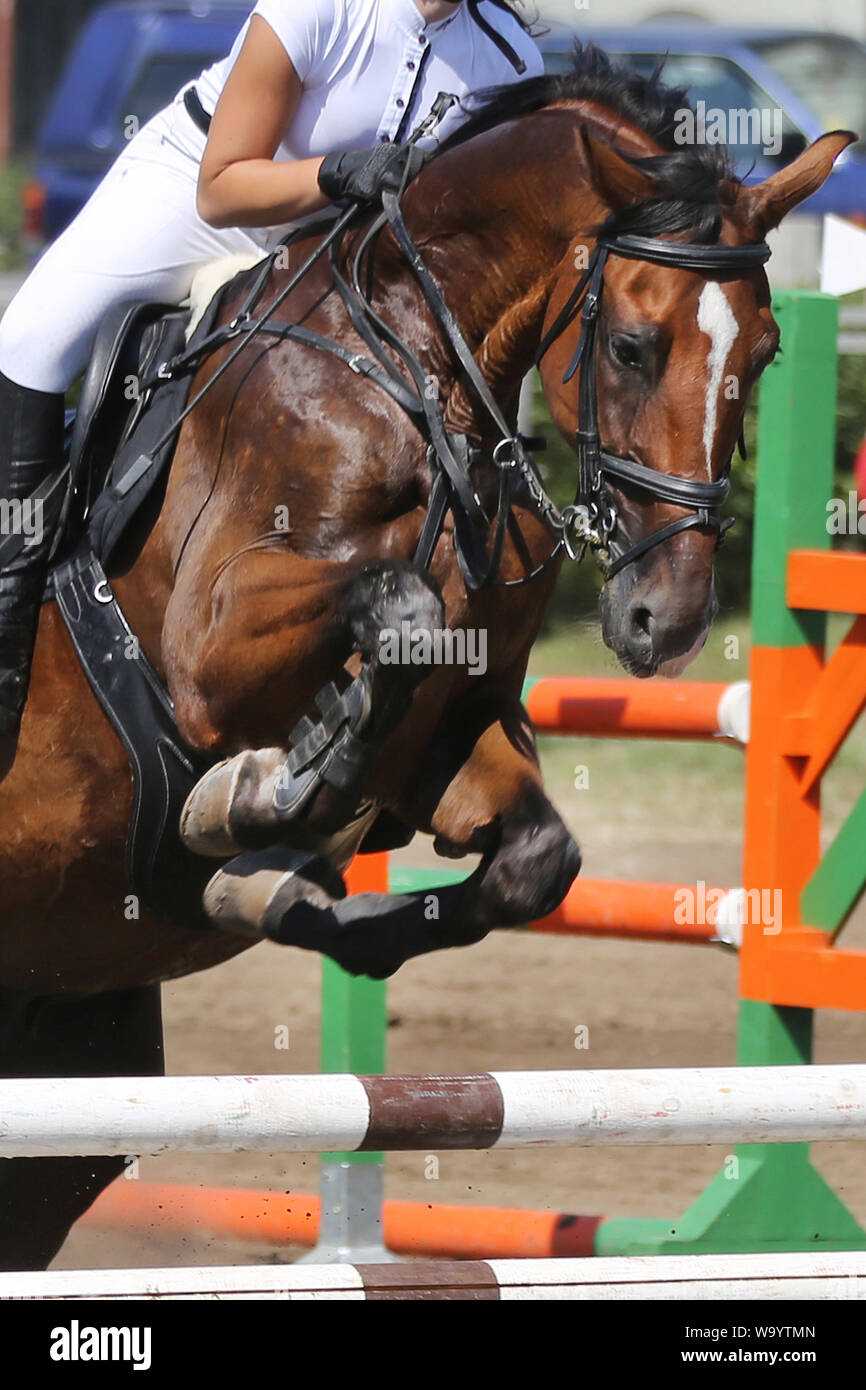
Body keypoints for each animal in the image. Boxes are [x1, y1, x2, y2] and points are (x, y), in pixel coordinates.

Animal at [0, 47, 850, 1267]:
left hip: (66, 1047)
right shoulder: (209, 654)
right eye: (630, 348)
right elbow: (391, 606)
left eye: (769, 352)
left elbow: (533, 857)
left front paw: (274, 880)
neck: (417, 367)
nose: (669, 620)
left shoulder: (446, 733)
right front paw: (253, 801)